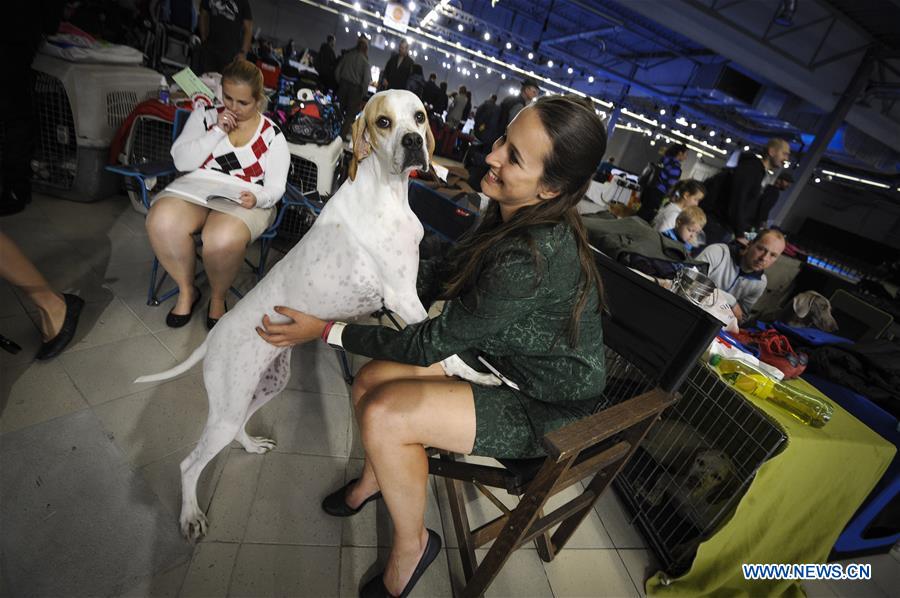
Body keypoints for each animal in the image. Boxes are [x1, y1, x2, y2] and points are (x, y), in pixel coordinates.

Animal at [136, 90, 496, 544]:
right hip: (227, 408)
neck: (387, 192)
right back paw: (190, 516)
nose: (414, 142)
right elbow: (447, 352)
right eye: (383, 121)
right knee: (189, 465)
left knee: (238, 430)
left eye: (418, 117)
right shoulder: (403, 298)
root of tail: (213, 337)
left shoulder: (412, 292)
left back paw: (251, 447)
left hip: (264, 387)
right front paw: (476, 374)